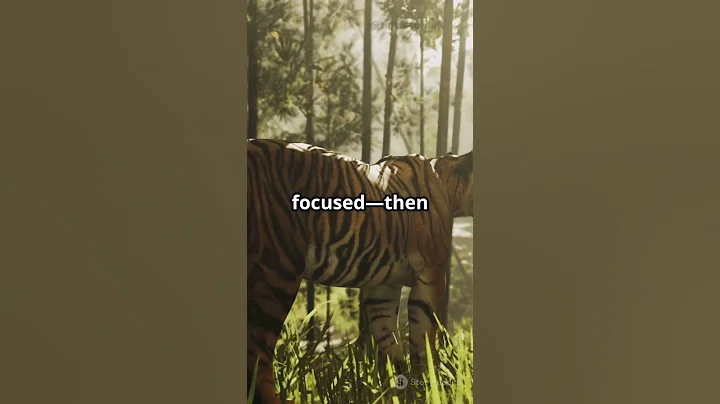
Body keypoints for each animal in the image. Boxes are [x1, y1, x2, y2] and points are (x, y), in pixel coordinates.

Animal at [247, 138, 473, 404]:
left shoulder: (382, 289)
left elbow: (390, 347)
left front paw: (398, 393)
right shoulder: (431, 276)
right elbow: (423, 342)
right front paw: (427, 389)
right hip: (276, 271)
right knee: (256, 356)